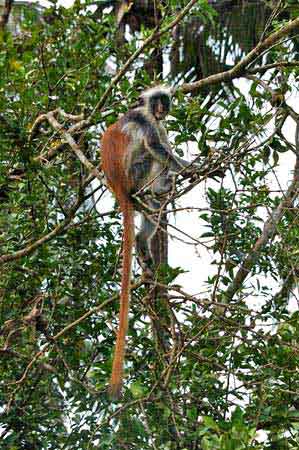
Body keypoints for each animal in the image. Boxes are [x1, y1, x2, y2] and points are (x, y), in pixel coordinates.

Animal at [102, 84, 193, 398]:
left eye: (166, 101)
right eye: (157, 101)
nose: (162, 109)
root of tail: (118, 187)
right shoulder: (145, 120)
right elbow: (156, 146)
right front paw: (192, 168)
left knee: (152, 208)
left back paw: (142, 241)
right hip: (137, 174)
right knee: (153, 157)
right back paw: (165, 185)